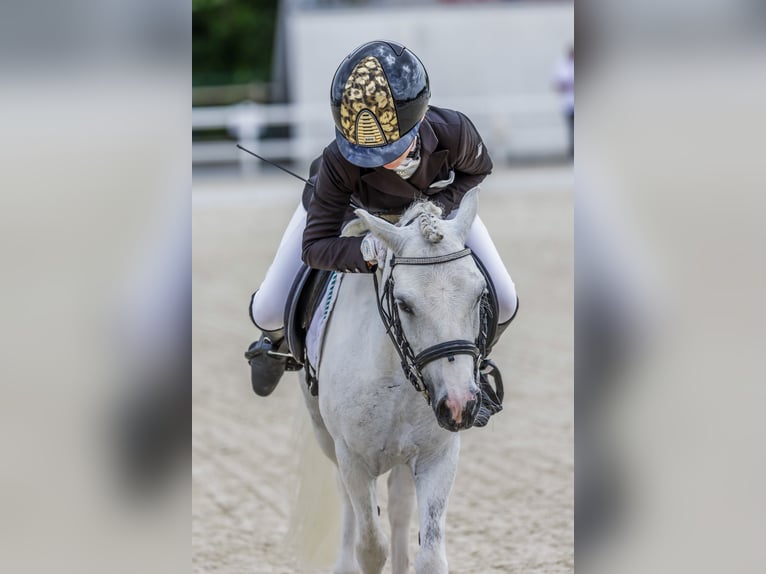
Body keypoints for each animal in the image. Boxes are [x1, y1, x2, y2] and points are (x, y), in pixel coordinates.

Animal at [300, 188, 492, 574]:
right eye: (404, 304)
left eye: (480, 294)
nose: (460, 405)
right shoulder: (353, 458)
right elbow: (371, 547)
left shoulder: (438, 454)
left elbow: (430, 556)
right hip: (325, 436)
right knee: (348, 501)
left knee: (400, 507)